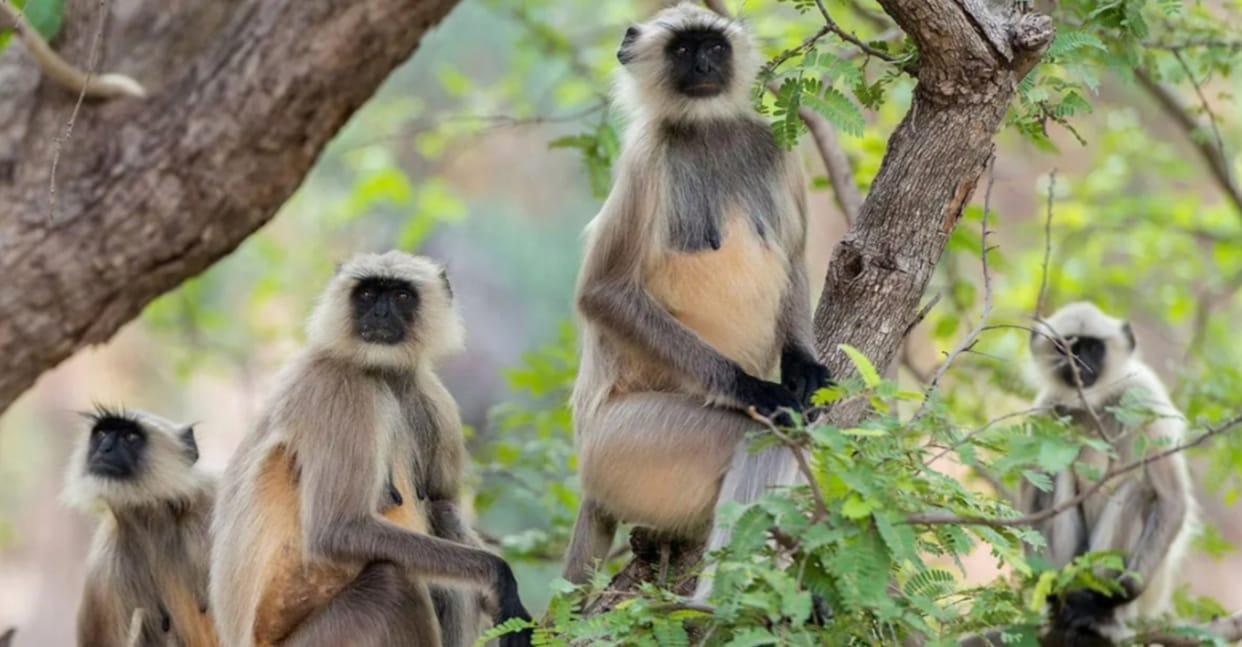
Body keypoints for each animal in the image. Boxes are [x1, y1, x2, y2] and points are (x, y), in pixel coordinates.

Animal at [209, 251, 532, 647]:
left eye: (401, 296)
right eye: (366, 294)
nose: (379, 314)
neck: (383, 374)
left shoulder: (436, 401)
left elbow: (443, 501)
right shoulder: (339, 386)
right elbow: (337, 530)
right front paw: (500, 579)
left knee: (440, 516)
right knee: (394, 584)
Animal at [562, 3, 831, 601]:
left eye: (714, 47)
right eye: (684, 50)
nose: (705, 65)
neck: (706, 128)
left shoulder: (772, 144)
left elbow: (794, 254)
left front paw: (803, 368)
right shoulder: (645, 160)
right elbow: (602, 292)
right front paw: (755, 388)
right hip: (626, 444)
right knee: (762, 432)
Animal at [1020, 301, 1196, 646]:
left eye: (1091, 348)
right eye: (1065, 347)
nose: (1078, 363)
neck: (1094, 403)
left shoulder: (1143, 396)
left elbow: (1172, 499)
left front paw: (1104, 601)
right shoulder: (1045, 411)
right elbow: (1030, 507)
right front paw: (1052, 596)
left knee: (1139, 490)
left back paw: (1098, 616)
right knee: (1055, 478)